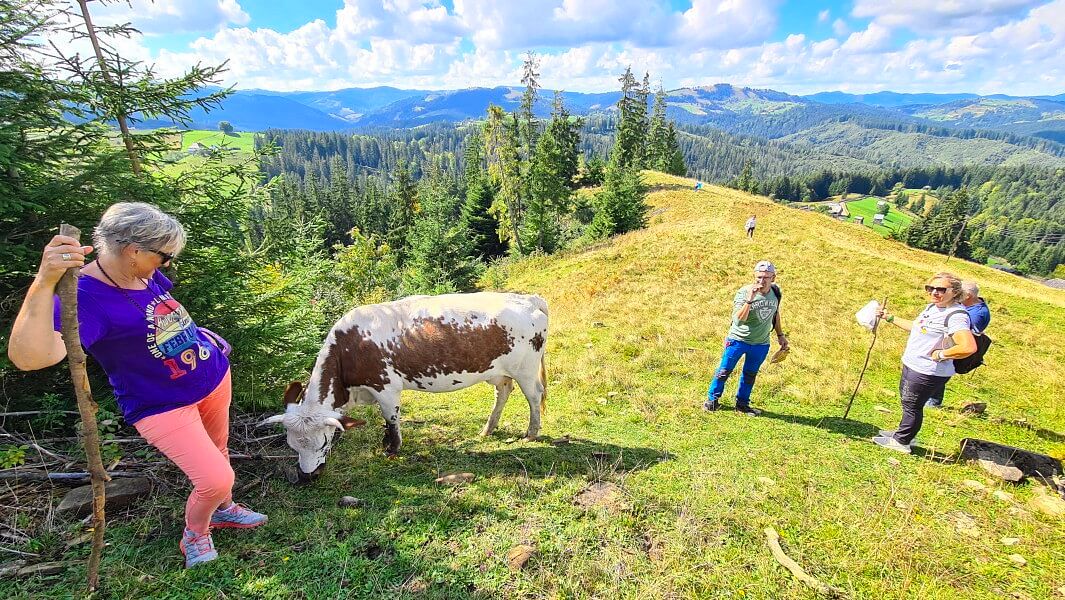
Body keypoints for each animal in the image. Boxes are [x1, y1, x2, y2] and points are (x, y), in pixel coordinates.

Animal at [259, 294, 549, 481]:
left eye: (322, 443)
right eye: (292, 445)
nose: (309, 476)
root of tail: (528, 298)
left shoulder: (386, 387)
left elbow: (391, 419)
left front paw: (392, 448)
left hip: (525, 369)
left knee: (534, 395)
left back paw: (531, 432)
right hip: (498, 371)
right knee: (503, 391)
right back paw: (488, 428)